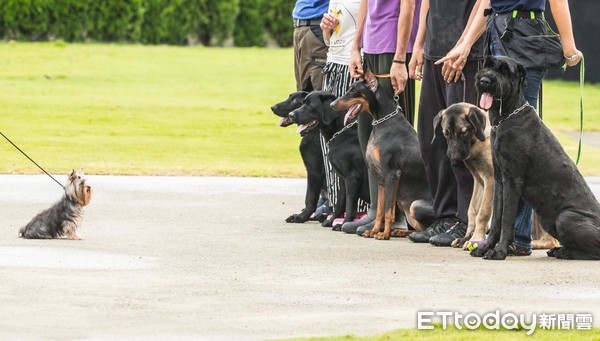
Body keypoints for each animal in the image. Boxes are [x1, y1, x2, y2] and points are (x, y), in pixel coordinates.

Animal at [434, 102, 494, 248]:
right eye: (446, 133)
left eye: (463, 132)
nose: (454, 156)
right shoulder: (479, 181)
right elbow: (472, 209)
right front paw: (467, 237)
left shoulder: (491, 180)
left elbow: (483, 212)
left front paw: (476, 239)